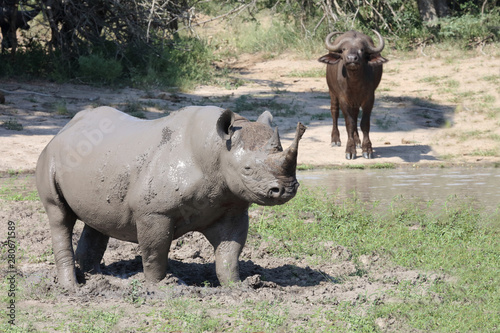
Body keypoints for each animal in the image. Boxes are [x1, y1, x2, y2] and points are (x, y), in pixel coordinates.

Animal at [320, 28, 386, 158]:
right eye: (344, 49)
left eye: (362, 50)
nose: (351, 59)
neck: (355, 83)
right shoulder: (343, 100)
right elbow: (349, 124)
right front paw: (350, 150)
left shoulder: (369, 99)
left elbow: (364, 123)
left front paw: (367, 149)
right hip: (332, 92)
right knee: (334, 112)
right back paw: (335, 140)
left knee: (355, 116)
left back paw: (357, 141)